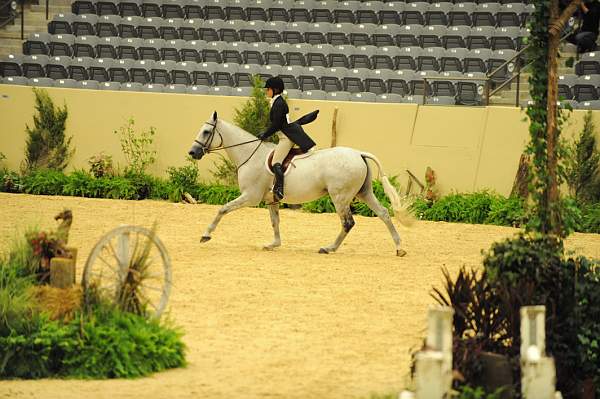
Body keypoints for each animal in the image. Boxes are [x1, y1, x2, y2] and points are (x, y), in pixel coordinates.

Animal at [189, 111, 412, 256]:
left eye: (206, 132)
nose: (192, 152)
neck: (250, 154)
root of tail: (358, 153)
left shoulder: (250, 197)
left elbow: (223, 209)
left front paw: (206, 235)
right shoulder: (271, 200)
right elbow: (275, 221)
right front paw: (274, 244)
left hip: (340, 197)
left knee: (348, 222)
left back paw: (328, 248)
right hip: (363, 193)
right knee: (383, 213)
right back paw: (399, 248)